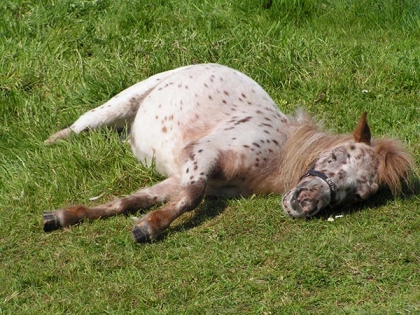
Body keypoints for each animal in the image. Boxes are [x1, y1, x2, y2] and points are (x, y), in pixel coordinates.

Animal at [43, 63, 414, 243]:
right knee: (79, 127)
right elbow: (191, 198)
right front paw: (149, 229)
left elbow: (133, 200)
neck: (277, 153)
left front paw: (64, 216)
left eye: (358, 195)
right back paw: (50, 142)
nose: (305, 203)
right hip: (115, 106)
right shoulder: (201, 157)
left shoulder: (178, 177)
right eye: (335, 157)